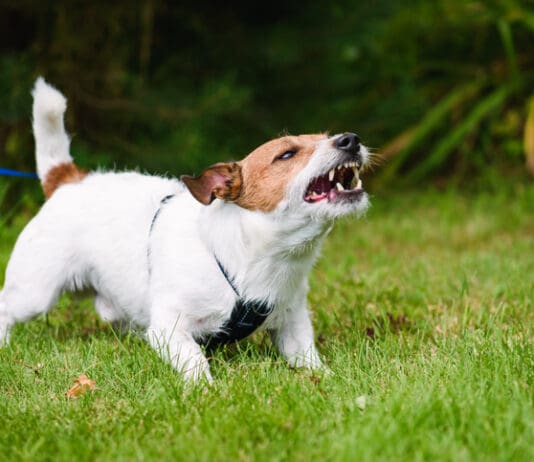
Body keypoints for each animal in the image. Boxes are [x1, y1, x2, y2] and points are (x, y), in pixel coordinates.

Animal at [0, 78, 370, 382]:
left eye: (327, 137)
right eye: (287, 154)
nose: (351, 139)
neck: (252, 257)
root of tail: (67, 180)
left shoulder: (293, 322)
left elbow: (307, 357)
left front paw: (327, 379)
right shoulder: (169, 327)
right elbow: (193, 358)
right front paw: (205, 390)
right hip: (35, 292)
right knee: (6, 306)